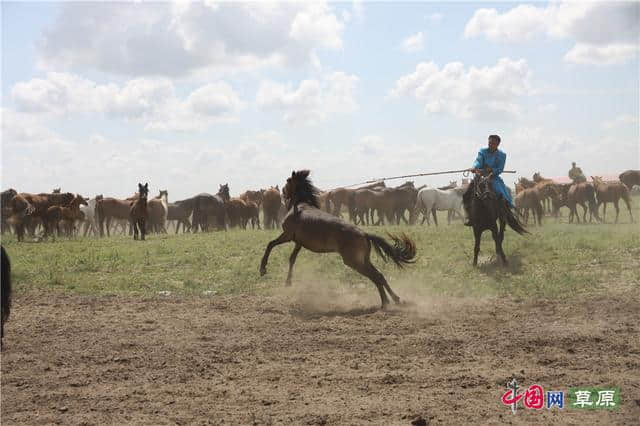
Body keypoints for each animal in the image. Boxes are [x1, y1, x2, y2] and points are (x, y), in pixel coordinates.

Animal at [260, 170, 416, 310]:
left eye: (288, 181)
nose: (283, 193)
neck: (300, 207)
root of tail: (364, 234)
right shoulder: (298, 242)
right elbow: (292, 258)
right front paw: (288, 282)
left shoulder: (287, 235)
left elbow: (270, 245)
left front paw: (263, 269)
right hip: (364, 260)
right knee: (380, 276)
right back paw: (395, 299)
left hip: (354, 262)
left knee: (376, 277)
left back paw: (385, 303)